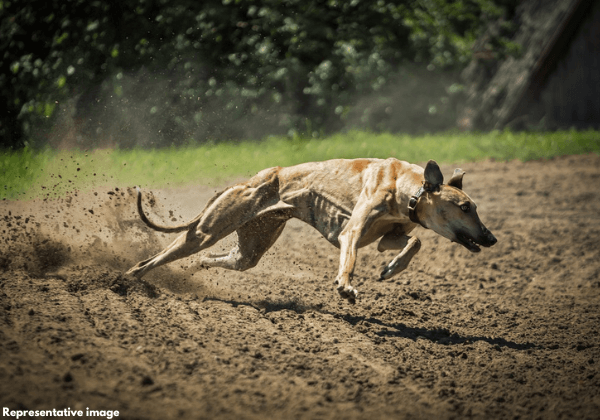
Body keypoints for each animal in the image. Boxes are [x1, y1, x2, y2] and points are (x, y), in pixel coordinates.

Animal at [125, 158, 496, 302]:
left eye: (476, 206)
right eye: (466, 207)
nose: (491, 238)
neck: (409, 188)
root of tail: (249, 181)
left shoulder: (387, 236)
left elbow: (414, 240)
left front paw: (392, 269)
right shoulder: (351, 234)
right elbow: (349, 260)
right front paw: (346, 287)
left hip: (249, 248)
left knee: (222, 258)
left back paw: (193, 269)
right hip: (205, 231)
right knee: (150, 261)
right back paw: (126, 280)